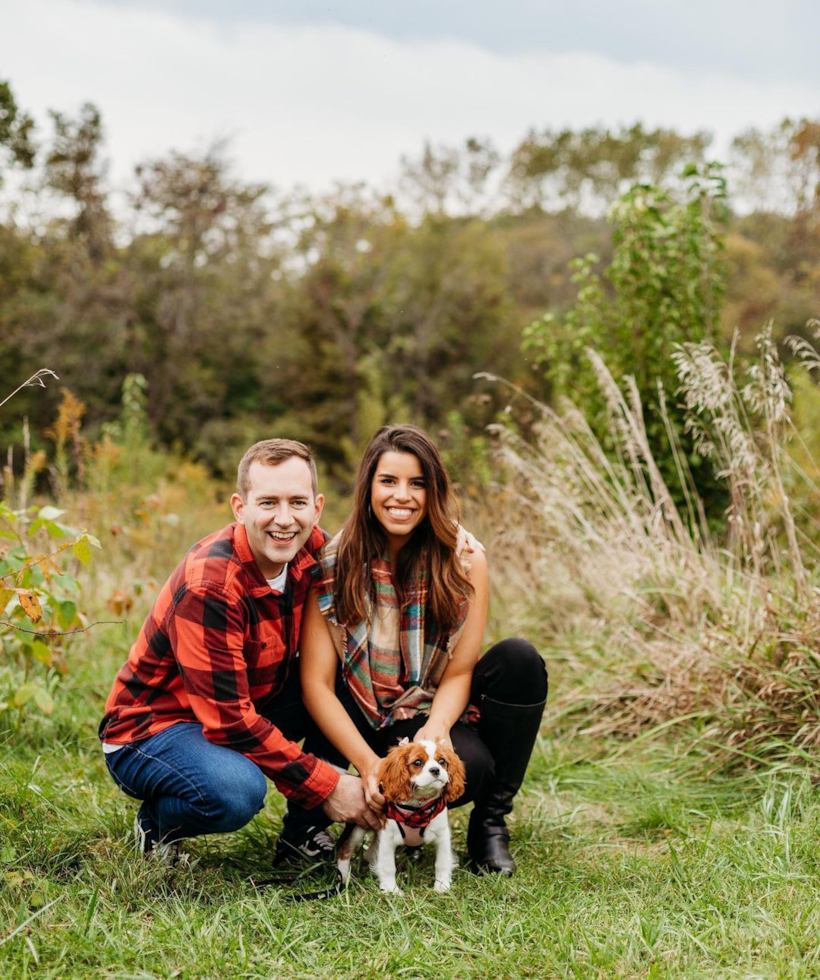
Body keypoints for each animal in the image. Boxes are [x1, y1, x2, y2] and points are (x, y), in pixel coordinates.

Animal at [338, 740, 468, 892]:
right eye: (417, 762)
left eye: (442, 761)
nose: (435, 770)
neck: (417, 807)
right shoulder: (388, 836)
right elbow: (388, 866)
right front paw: (391, 890)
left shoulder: (442, 834)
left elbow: (442, 862)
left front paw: (442, 886)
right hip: (359, 826)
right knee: (345, 849)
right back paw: (344, 878)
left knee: (369, 853)